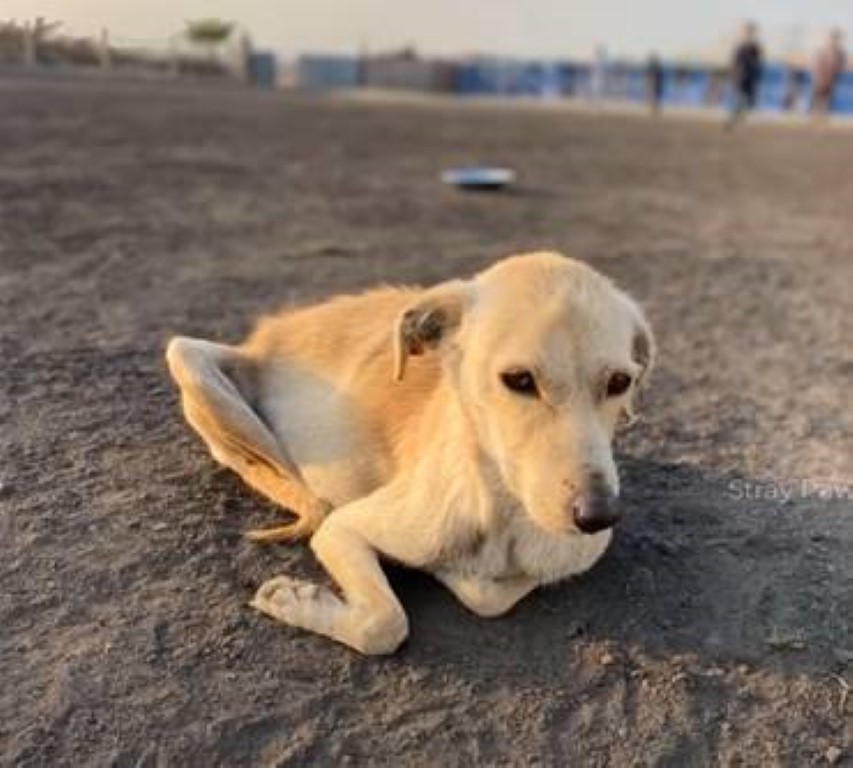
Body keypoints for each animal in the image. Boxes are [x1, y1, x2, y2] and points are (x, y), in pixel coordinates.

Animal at [168, 252, 660, 656]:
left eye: (620, 382)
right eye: (519, 380)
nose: (598, 515)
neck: (504, 517)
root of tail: (271, 328)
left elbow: (490, 597)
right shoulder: (341, 530)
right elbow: (384, 625)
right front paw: (299, 600)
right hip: (191, 361)